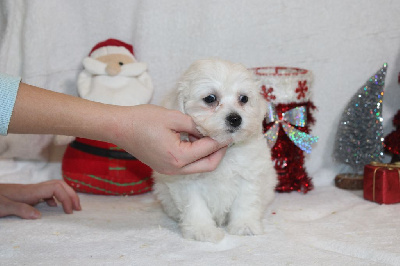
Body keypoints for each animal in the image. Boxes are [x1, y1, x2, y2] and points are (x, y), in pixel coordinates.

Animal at [153, 59, 278, 242]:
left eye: (244, 98)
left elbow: (245, 202)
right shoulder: (186, 181)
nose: (235, 118)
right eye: (210, 98)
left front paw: (245, 226)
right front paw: (203, 230)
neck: (226, 151)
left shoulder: (249, 174)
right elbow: (195, 206)